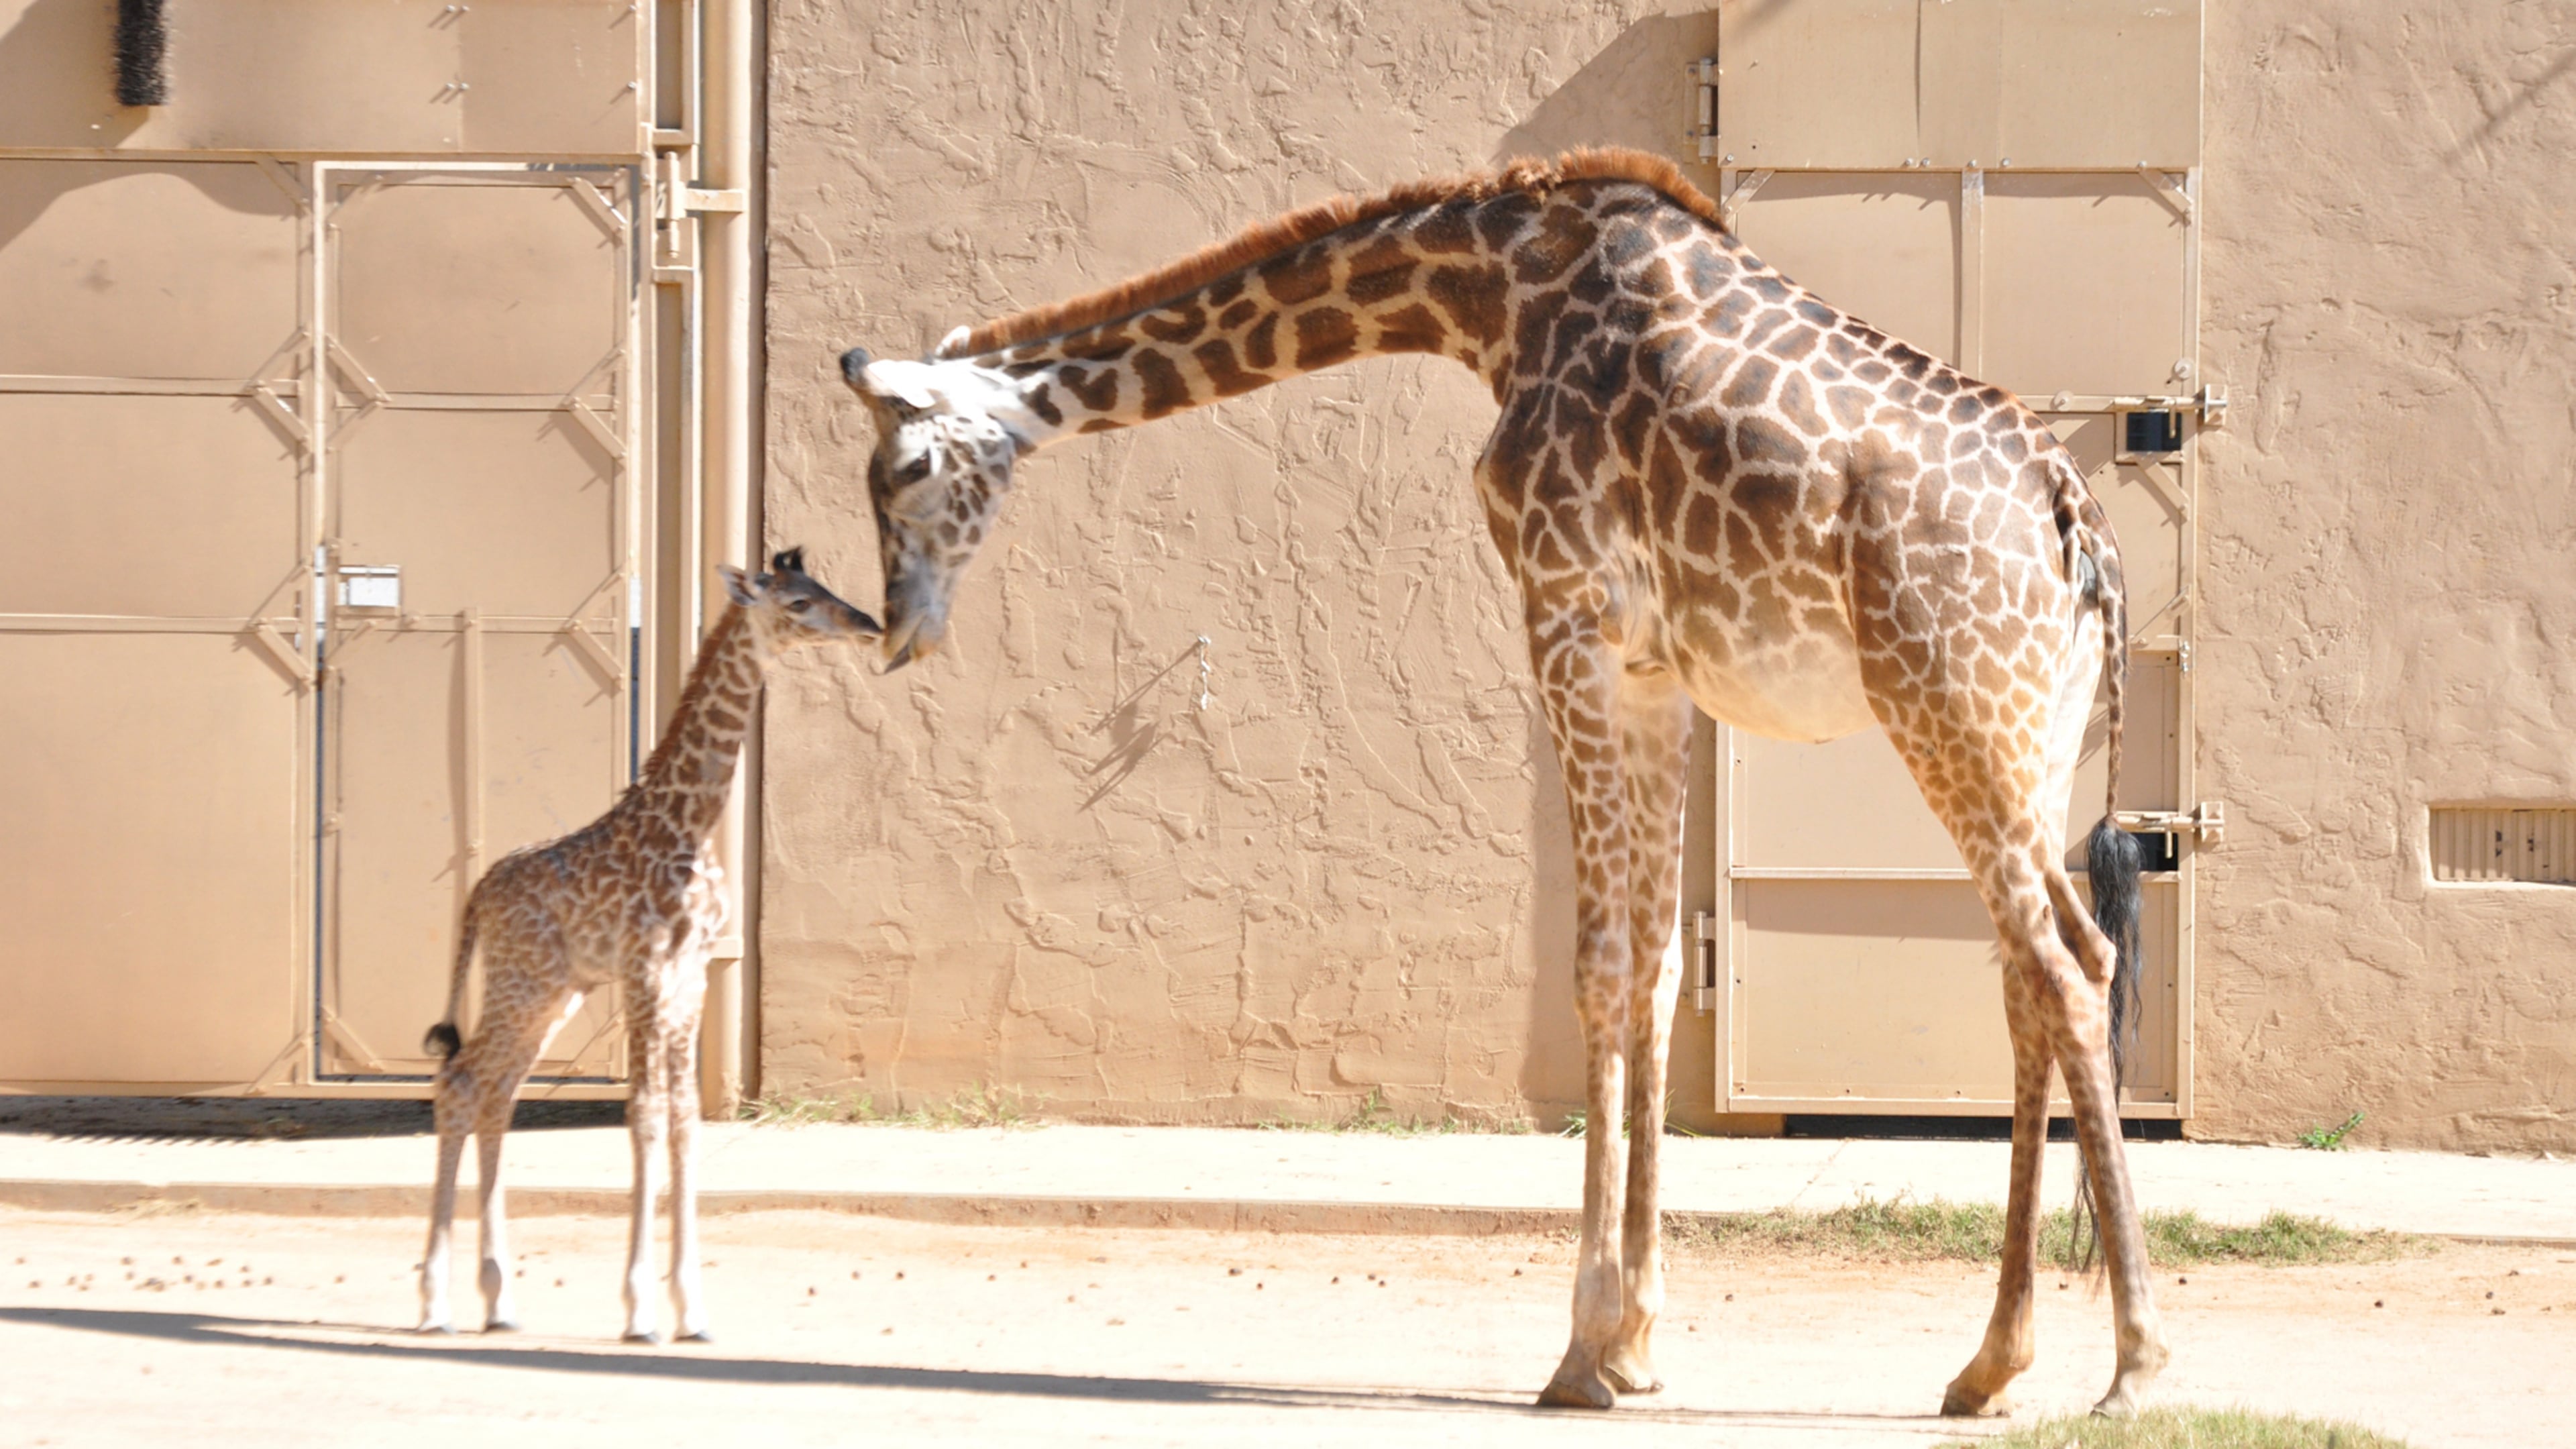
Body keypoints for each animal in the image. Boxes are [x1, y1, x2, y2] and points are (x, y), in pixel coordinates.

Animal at [416, 548, 879, 1342]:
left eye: (823, 588)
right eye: (795, 603)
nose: (868, 623)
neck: (688, 824)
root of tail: (476, 896)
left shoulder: (691, 980)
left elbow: (686, 1121)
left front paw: (693, 1309)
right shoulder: (643, 973)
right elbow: (645, 1118)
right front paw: (639, 1310)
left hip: (554, 996)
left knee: (494, 1093)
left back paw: (500, 1302)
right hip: (521, 985)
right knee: (461, 1083)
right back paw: (436, 1303)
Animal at [833, 148, 2165, 1417]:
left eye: (903, 469)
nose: (900, 633)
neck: (1495, 290)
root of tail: (2079, 522)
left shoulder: (1565, 620)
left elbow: (1601, 968)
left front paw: (1581, 1351)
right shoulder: (1653, 670)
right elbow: (1659, 967)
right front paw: (1638, 1344)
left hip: (1948, 705)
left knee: (2057, 964)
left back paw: (2134, 1367)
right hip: (2028, 735)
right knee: (2054, 966)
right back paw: (1989, 1366)